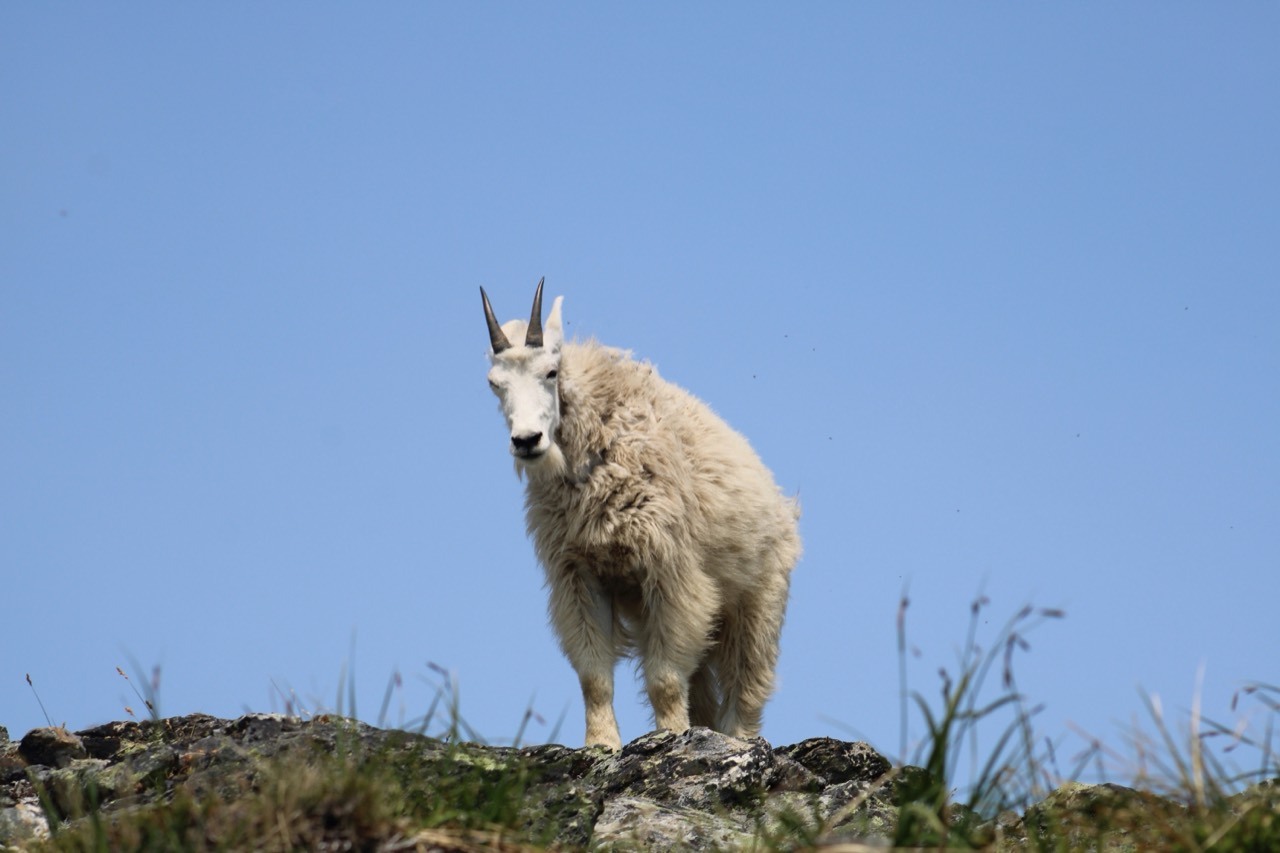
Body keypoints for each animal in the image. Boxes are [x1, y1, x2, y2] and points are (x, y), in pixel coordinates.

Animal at [481, 278, 800, 750]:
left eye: (551, 372)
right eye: (494, 383)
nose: (526, 440)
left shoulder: (669, 569)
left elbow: (664, 679)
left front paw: (671, 739)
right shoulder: (579, 573)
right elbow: (595, 676)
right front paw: (601, 744)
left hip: (758, 601)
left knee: (747, 684)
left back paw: (737, 739)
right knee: (702, 687)